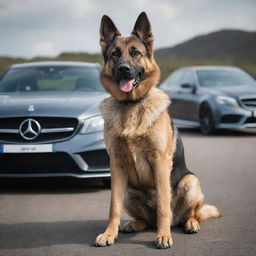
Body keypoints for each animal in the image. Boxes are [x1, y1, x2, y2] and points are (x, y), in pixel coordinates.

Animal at [95, 12, 221, 250]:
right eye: (115, 54)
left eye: (135, 53)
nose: (123, 69)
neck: (131, 106)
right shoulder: (116, 164)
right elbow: (113, 207)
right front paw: (109, 234)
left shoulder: (160, 162)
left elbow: (163, 205)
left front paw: (163, 236)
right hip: (129, 191)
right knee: (146, 220)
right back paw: (134, 224)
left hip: (191, 182)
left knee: (189, 214)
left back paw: (188, 224)